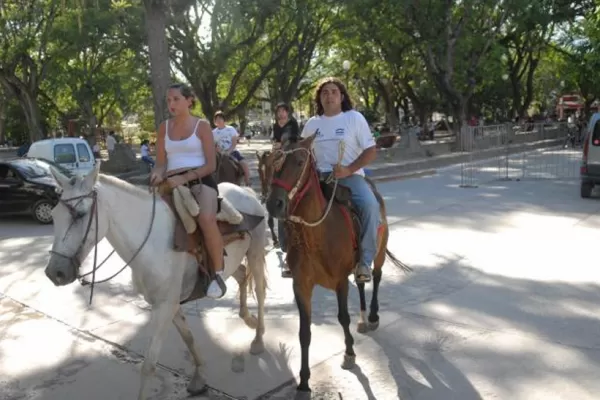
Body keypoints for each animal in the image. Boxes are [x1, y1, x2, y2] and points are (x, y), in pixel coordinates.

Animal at [47, 162, 270, 400]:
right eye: (54, 215)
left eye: (79, 214)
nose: (54, 272)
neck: (151, 243)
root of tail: (246, 191)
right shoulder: (169, 304)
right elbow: (188, 338)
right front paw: (199, 377)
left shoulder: (165, 306)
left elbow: (149, 365)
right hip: (233, 262)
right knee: (241, 274)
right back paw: (247, 317)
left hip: (255, 253)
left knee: (260, 290)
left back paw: (258, 339)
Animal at [264, 134, 410, 394]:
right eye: (273, 163)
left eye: (300, 161)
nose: (274, 204)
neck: (316, 235)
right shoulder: (301, 286)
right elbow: (304, 332)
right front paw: (304, 382)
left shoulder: (340, 282)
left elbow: (343, 317)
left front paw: (349, 353)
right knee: (361, 282)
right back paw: (363, 319)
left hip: (379, 251)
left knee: (377, 276)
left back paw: (372, 316)